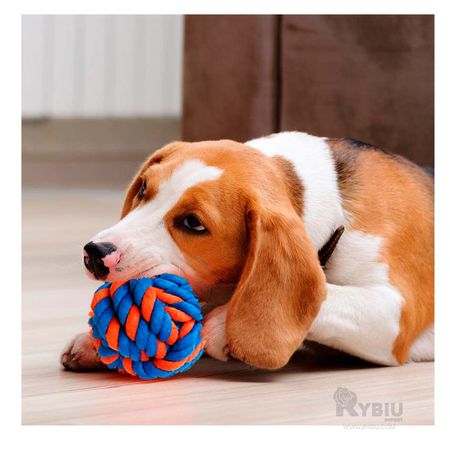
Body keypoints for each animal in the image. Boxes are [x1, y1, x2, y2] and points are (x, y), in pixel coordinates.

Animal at [61, 132, 434, 370]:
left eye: (193, 223)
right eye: (142, 188)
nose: (95, 252)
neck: (334, 212)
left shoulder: (394, 314)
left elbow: (328, 295)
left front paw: (222, 327)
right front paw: (93, 342)